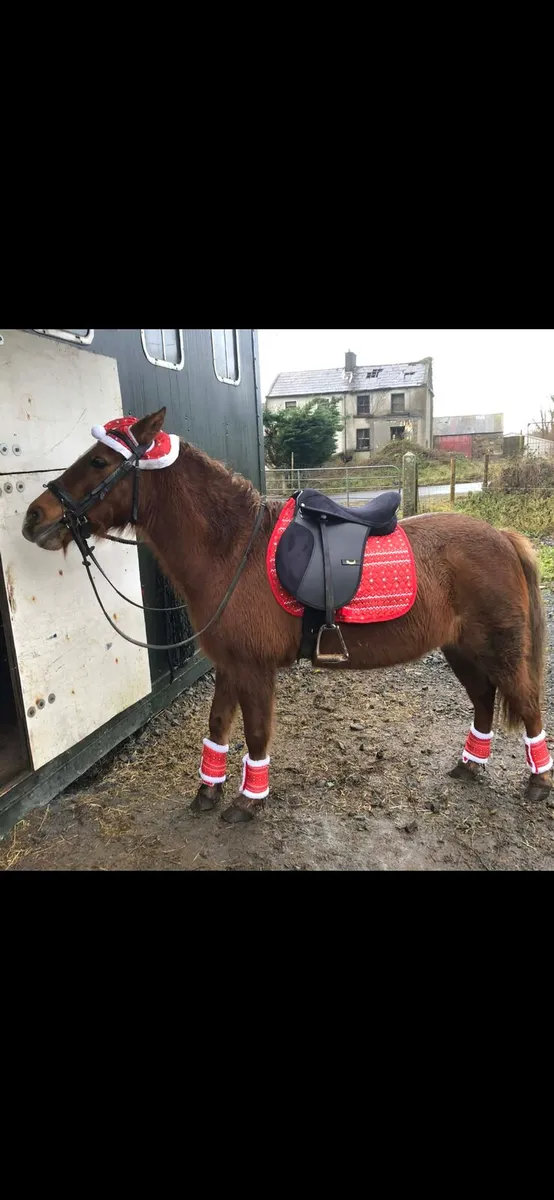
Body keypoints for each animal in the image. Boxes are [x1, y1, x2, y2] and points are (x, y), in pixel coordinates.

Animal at [22, 406, 553, 823]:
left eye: (99, 460)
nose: (33, 517)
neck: (233, 549)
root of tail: (503, 537)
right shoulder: (229, 665)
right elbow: (218, 725)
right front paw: (207, 791)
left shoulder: (254, 669)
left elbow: (256, 734)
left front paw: (248, 801)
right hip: (461, 649)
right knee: (484, 701)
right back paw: (469, 766)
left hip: (500, 650)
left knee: (526, 704)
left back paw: (537, 783)